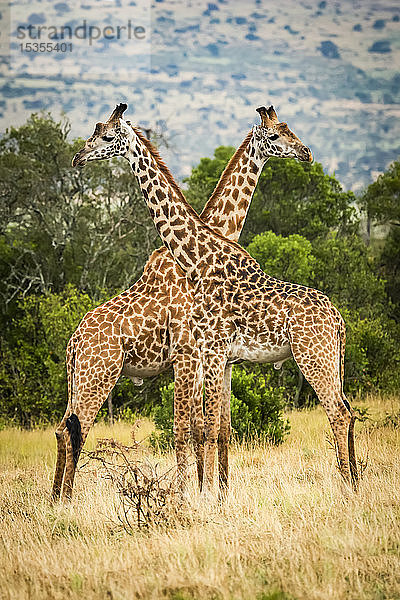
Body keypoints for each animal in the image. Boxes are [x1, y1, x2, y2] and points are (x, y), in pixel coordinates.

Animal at [72, 104, 360, 496]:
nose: (78, 157)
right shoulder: (214, 357)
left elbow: (203, 427)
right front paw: (211, 493)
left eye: (104, 135)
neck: (200, 258)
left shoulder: (206, 352)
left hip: (313, 356)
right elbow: (211, 428)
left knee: (339, 412)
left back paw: (349, 487)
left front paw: (203, 494)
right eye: (276, 134)